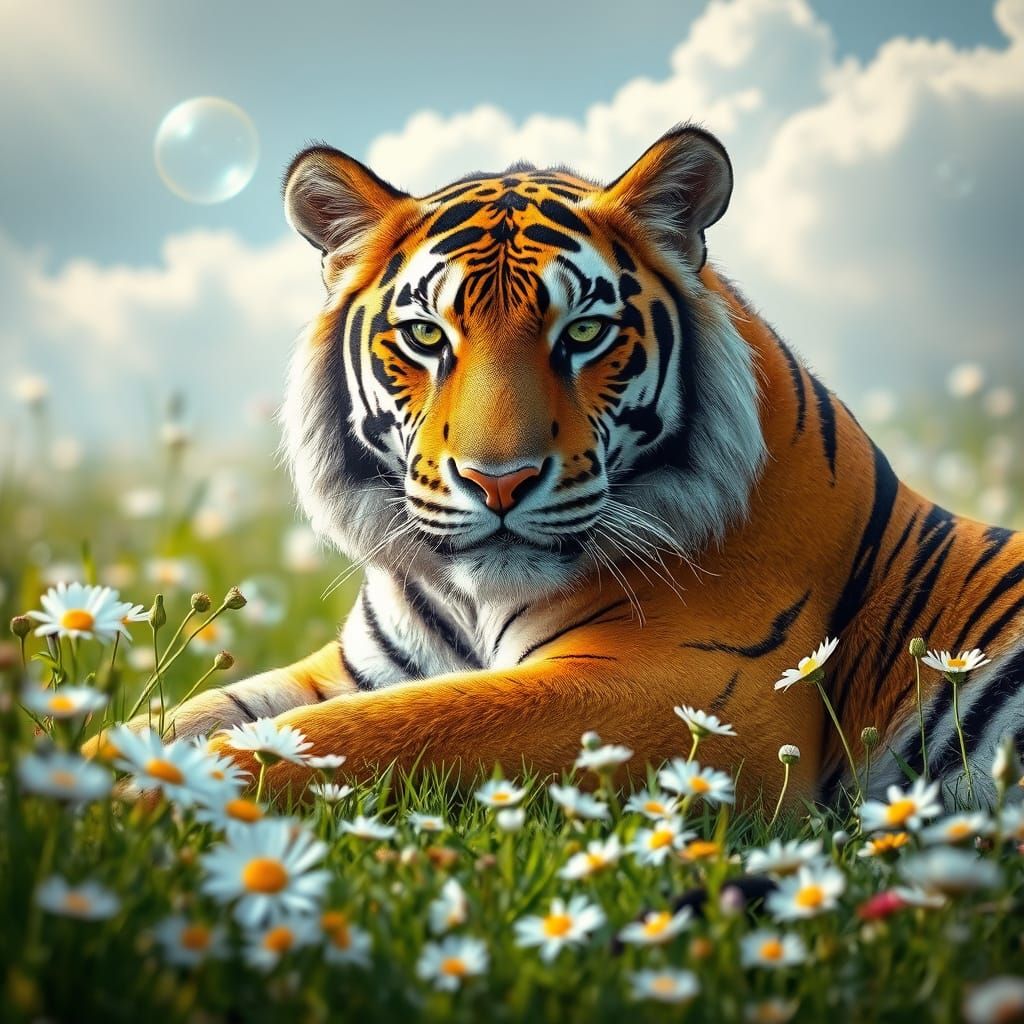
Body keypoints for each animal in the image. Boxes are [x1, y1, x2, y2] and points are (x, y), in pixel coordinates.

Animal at [93, 124, 1024, 807]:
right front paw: (86, 762)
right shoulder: (350, 669)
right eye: (426, 335)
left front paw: (132, 795)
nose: (497, 481)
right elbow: (198, 710)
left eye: (582, 333)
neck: (468, 601)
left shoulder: (683, 696)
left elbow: (382, 731)